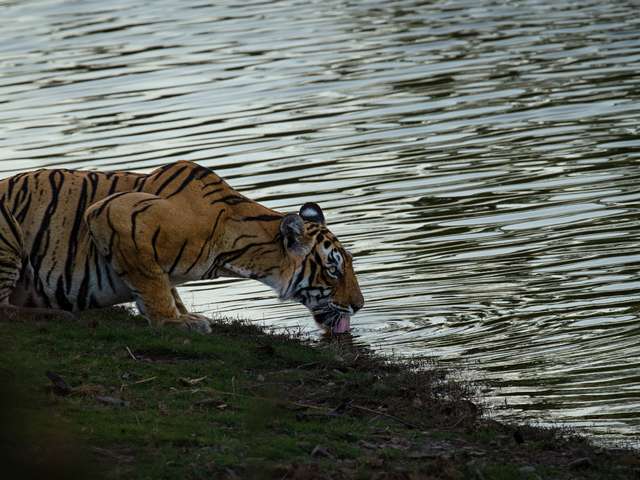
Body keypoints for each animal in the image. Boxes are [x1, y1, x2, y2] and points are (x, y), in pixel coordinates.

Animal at [0, 160, 364, 334]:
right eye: (333, 270)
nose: (359, 306)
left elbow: (165, 285)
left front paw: (183, 314)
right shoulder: (115, 213)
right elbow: (152, 282)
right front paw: (172, 322)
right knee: (4, 310)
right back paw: (56, 313)